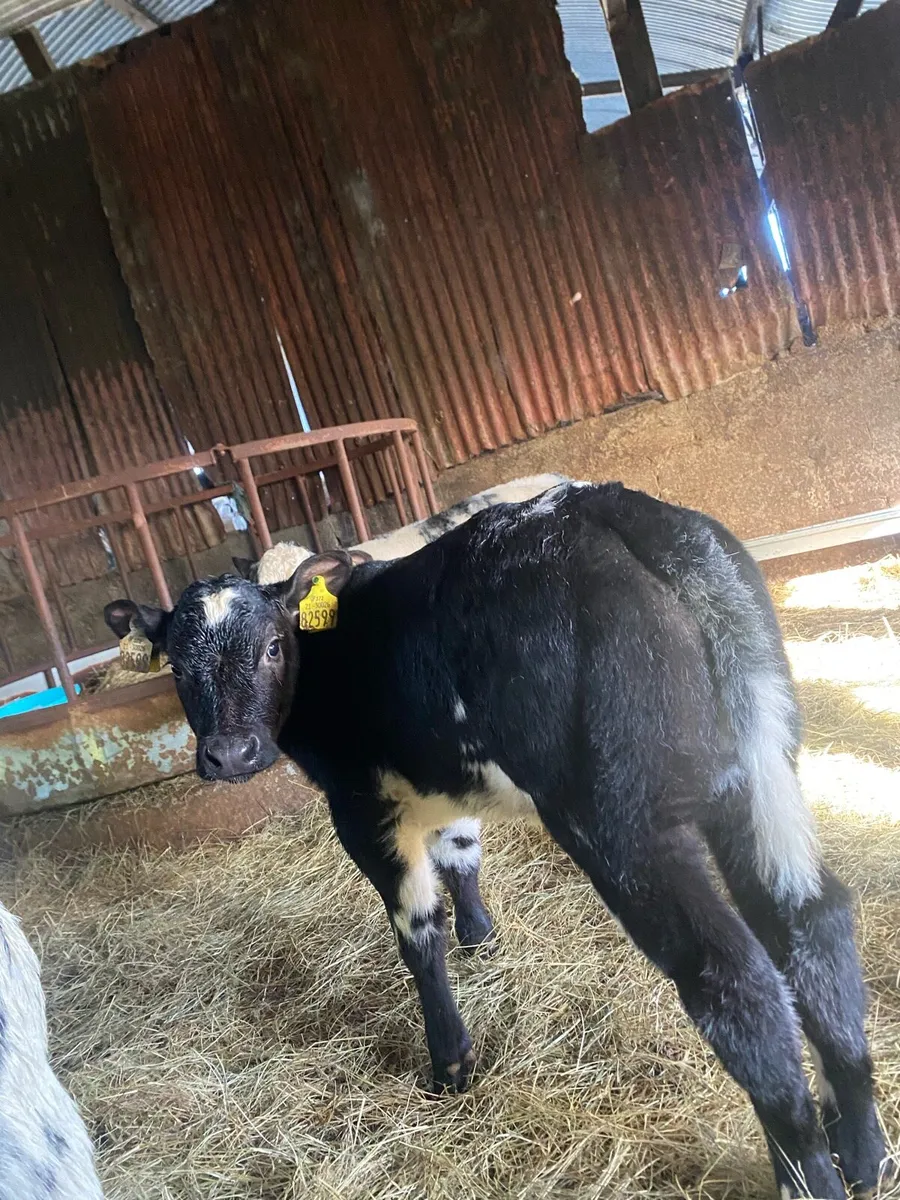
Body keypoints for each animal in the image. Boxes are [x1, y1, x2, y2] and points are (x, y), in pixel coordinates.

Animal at [103, 480, 887, 1199]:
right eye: (177, 664)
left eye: (273, 644)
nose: (230, 754)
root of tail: (610, 506)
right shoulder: (443, 779)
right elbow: (461, 849)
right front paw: (481, 935)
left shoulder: (360, 805)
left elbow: (417, 931)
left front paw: (450, 1062)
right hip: (762, 769)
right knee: (809, 922)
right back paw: (862, 1147)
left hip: (620, 819)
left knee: (734, 978)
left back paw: (809, 1174)